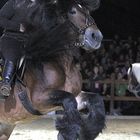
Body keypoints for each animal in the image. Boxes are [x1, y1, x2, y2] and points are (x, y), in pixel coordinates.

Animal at [0, 0, 105, 139]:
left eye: (87, 11)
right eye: (72, 11)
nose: (96, 36)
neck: (61, 63)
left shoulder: (76, 94)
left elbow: (96, 100)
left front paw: (88, 131)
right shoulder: (38, 99)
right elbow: (69, 101)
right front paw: (67, 133)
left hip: (5, 126)